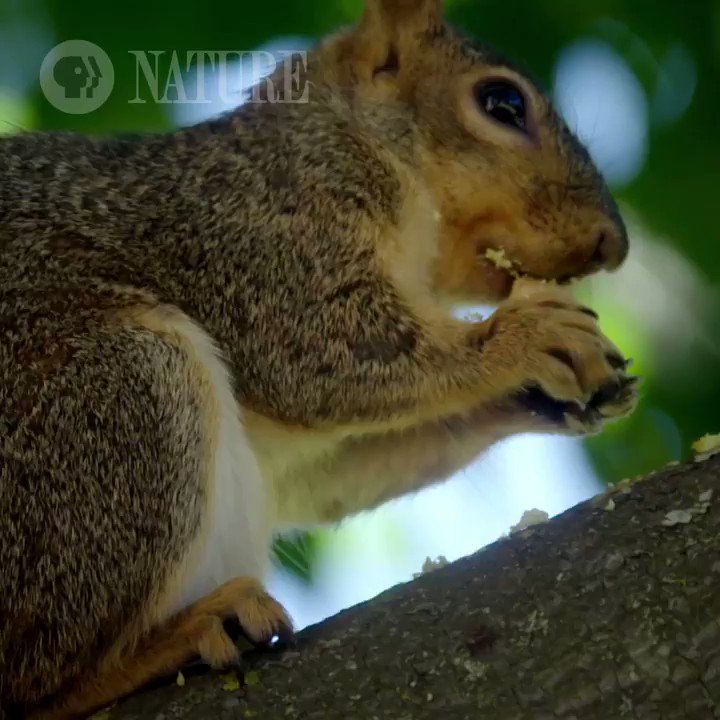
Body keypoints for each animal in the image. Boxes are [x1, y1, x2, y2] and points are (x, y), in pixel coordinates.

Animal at [0, 0, 637, 717]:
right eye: (502, 103)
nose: (612, 244)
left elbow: (332, 468)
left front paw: (560, 395)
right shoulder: (267, 229)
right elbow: (322, 353)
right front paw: (528, 337)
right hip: (117, 399)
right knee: (35, 682)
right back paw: (187, 634)